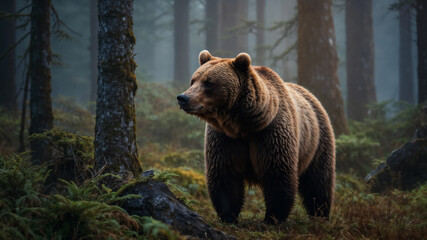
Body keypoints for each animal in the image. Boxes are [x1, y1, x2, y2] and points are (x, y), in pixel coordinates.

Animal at [177, 49, 338, 224]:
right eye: (193, 80)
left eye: (208, 82)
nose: (183, 98)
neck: (243, 125)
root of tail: (311, 95)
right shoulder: (224, 139)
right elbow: (225, 176)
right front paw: (228, 216)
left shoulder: (270, 134)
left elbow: (277, 175)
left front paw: (272, 218)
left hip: (318, 141)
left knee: (318, 182)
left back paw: (320, 214)